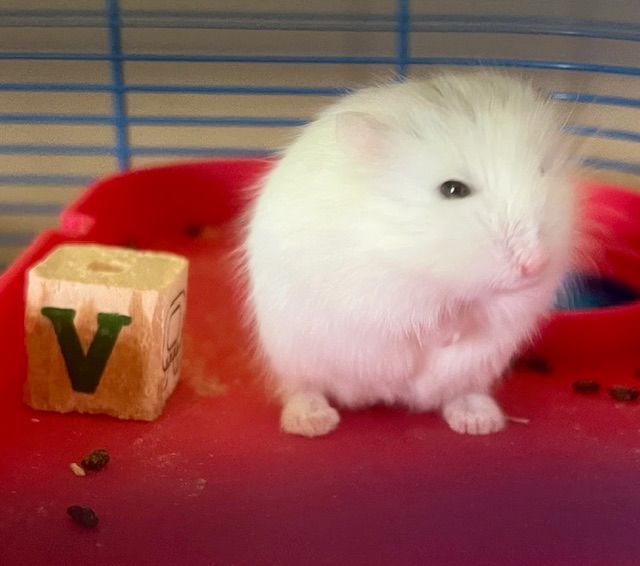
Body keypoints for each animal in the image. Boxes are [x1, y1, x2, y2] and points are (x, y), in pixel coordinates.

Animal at [241, 70, 576, 437]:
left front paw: (459, 328)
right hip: (292, 354)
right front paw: (446, 333)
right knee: (301, 388)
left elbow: (491, 308)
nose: (536, 264)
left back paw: (479, 421)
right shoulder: (377, 290)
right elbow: (420, 316)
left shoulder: (519, 300)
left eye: (543, 171)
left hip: (476, 370)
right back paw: (312, 422)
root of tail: (381, 394)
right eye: (453, 189)